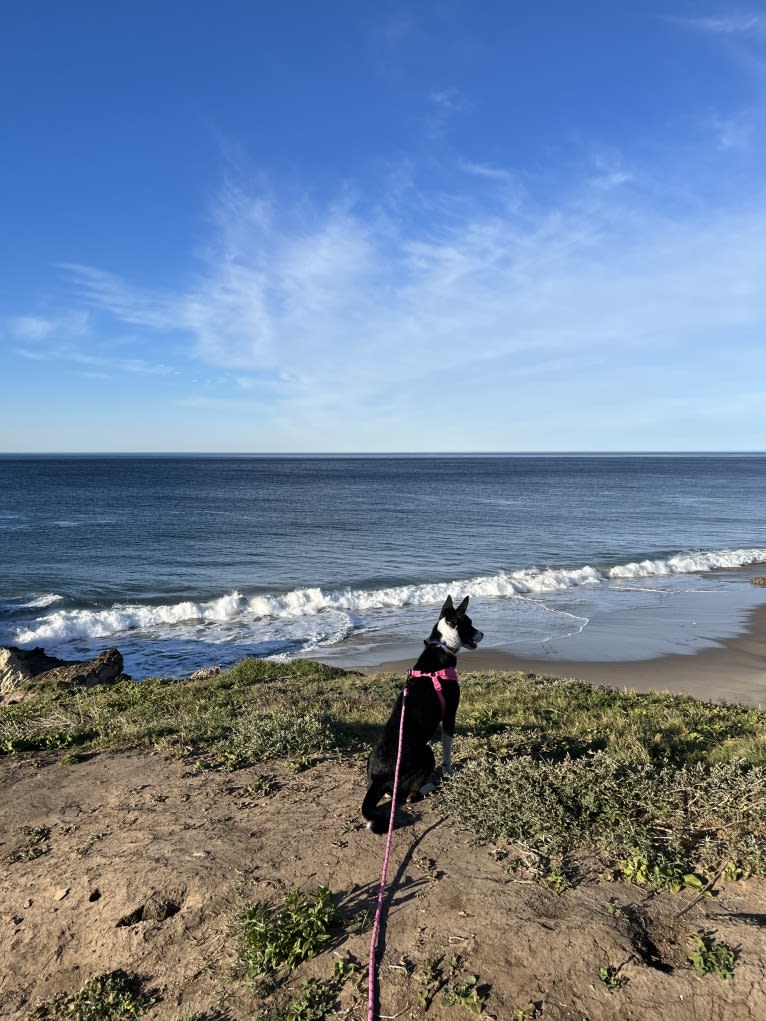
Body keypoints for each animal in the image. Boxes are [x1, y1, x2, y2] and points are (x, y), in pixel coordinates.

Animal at [361, 596, 482, 833]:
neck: (441, 646)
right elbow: (447, 749)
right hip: (426, 754)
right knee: (409, 796)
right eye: (470, 624)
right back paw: (429, 787)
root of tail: (379, 778)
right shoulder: (450, 715)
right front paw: (448, 771)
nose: (482, 634)